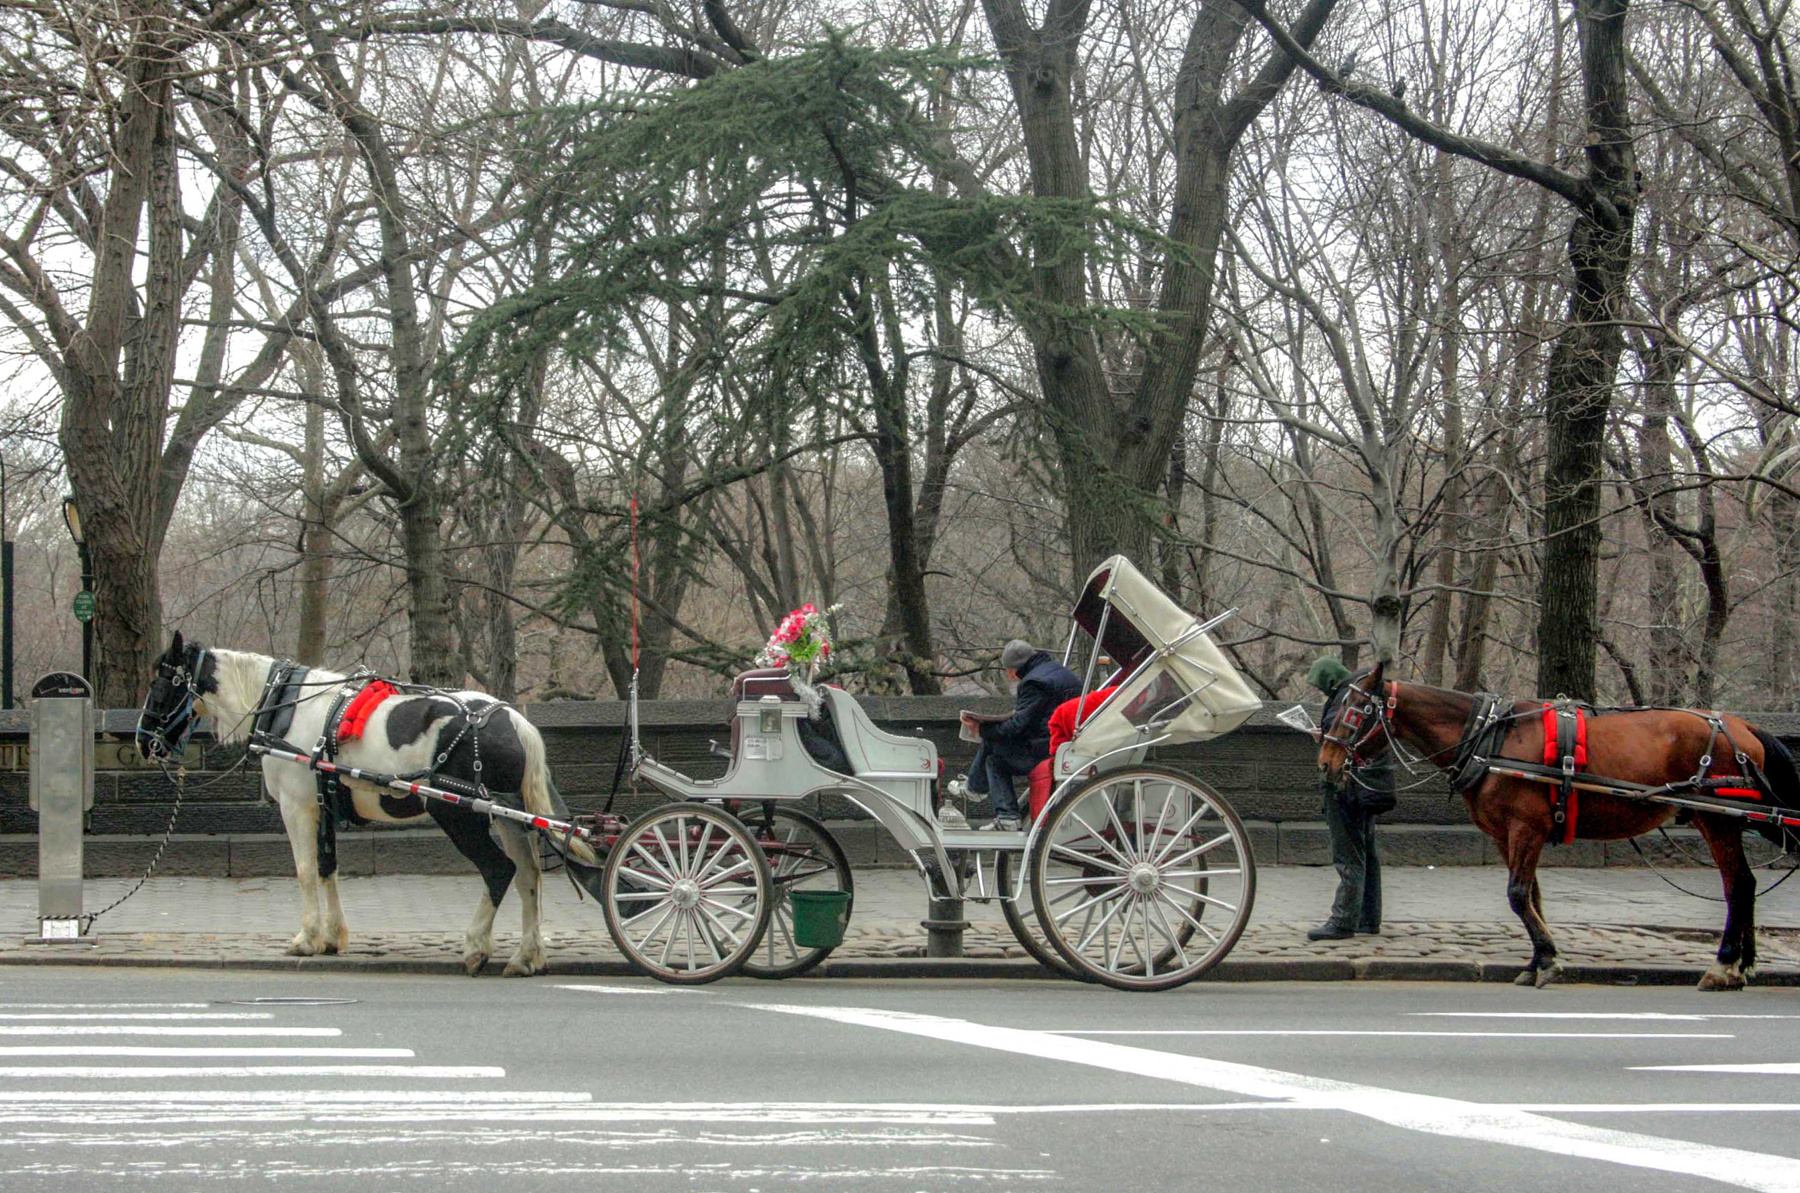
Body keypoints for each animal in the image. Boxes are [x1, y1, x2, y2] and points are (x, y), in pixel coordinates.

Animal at [135, 632, 597, 976]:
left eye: (161, 682)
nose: (143, 740)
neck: (286, 707)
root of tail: (511, 719)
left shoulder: (297, 806)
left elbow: (305, 871)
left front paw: (307, 938)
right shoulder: (323, 806)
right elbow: (327, 869)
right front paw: (332, 937)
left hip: (458, 814)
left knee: (498, 870)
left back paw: (476, 947)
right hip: (508, 816)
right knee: (528, 876)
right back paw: (526, 956)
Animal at [1317, 660, 1800, 990]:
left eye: (1355, 711)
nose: (1325, 762)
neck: (1490, 736)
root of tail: (1739, 725)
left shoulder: (1526, 828)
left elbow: (1516, 895)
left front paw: (1548, 959)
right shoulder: (1504, 835)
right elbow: (1531, 896)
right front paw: (1537, 959)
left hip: (1716, 819)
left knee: (1737, 885)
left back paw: (1723, 964)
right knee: (1746, 884)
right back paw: (1743, 963)